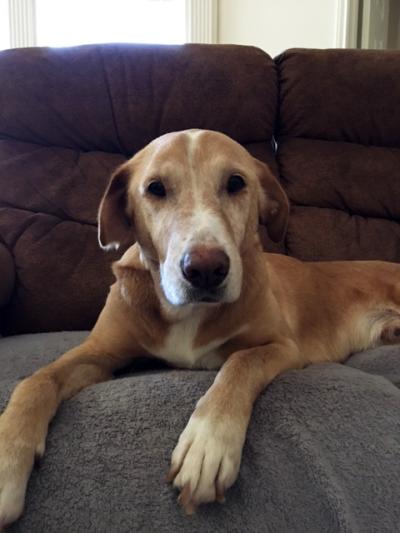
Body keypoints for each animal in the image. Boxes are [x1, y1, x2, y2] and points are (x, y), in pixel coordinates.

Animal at [0, 128, 400, 524]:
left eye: (236, 182)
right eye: (156, 188)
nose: (206, 269)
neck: (186, 312)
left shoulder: (281, 345)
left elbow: (239, 363)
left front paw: (208, 443)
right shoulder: (97, 353)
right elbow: (36, 381)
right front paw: (8, 462)